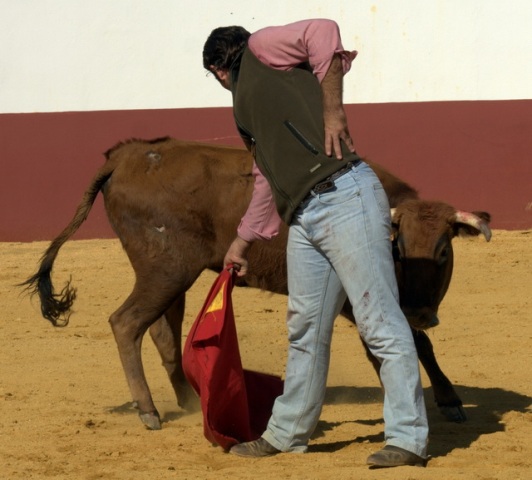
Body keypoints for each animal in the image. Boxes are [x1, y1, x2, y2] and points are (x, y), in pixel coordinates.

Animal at [23, 136, 490, 432]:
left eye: (444, 252)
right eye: (399, 247)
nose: (422, 312)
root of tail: (127, 155)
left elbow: (416, 342)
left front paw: (447, 400)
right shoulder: (362, 298)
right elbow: (405, 344)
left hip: (170, 275)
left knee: (160, 331)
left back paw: (189, 401)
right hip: (166, 270)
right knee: (126, 323)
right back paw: (150, 412)